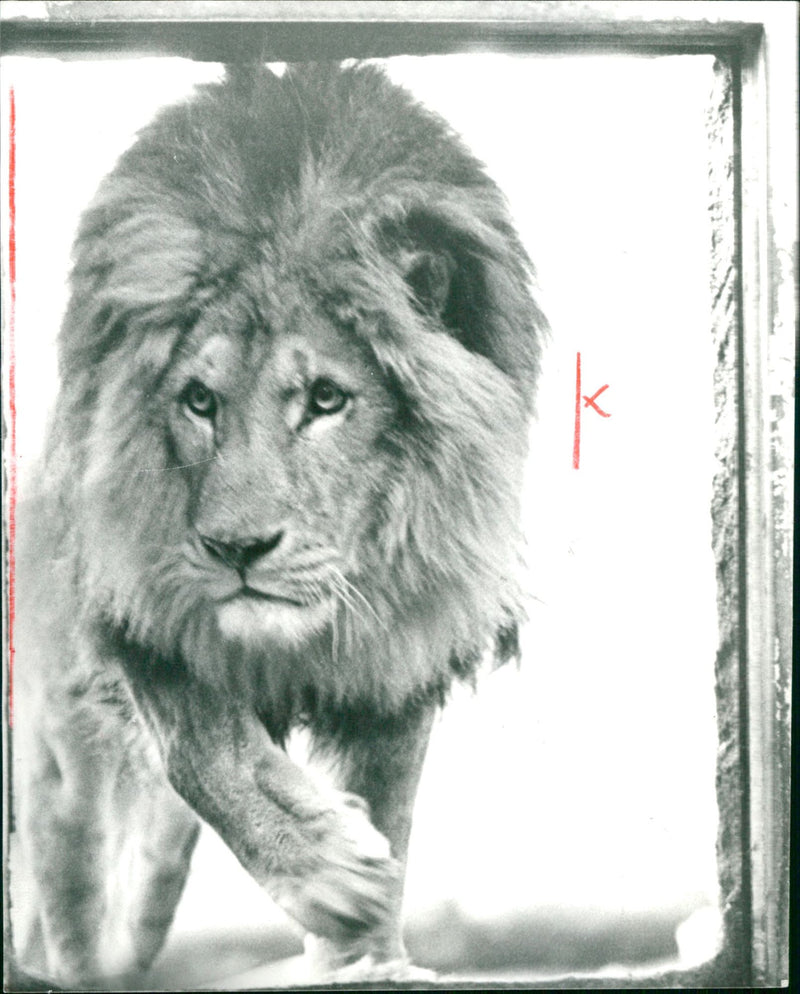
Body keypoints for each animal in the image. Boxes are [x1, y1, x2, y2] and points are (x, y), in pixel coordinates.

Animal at [10, 62, 546, 987]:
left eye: (326, 399)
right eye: (198, 401)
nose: (236, 549)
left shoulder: (400, 647)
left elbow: (388, 803)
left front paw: (366, 954)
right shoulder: (136, 597)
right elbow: (204, 748)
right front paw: (328, 872)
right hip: (63, 772)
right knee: (77, 915)